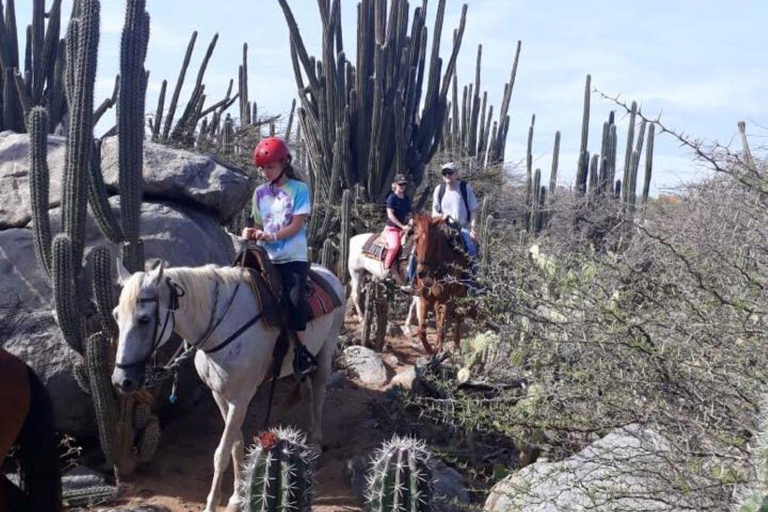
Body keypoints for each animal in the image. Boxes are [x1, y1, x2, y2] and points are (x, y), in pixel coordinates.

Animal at [111, 260, 344, 512]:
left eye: (144, 319)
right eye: (116, 316)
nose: (121, 380)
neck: (223, 326)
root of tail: (329, 274)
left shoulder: (240, 399)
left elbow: (221, 453)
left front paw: (212, 504)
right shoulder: (220, 395)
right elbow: (235, 444)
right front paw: (236, 496)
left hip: (326, 352)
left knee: (319, 393)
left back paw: (316, 444)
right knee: (308, 393)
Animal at [412, 211, 472, 352]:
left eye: (432, 241)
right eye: (415, 239)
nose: (421, 273)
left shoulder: (445, 301)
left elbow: (441, 329)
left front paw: (438, 351)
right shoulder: (424, 299)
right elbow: (421, 331)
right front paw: (430, 351)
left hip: (460, 295)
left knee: (458, 317)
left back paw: (456, 346)